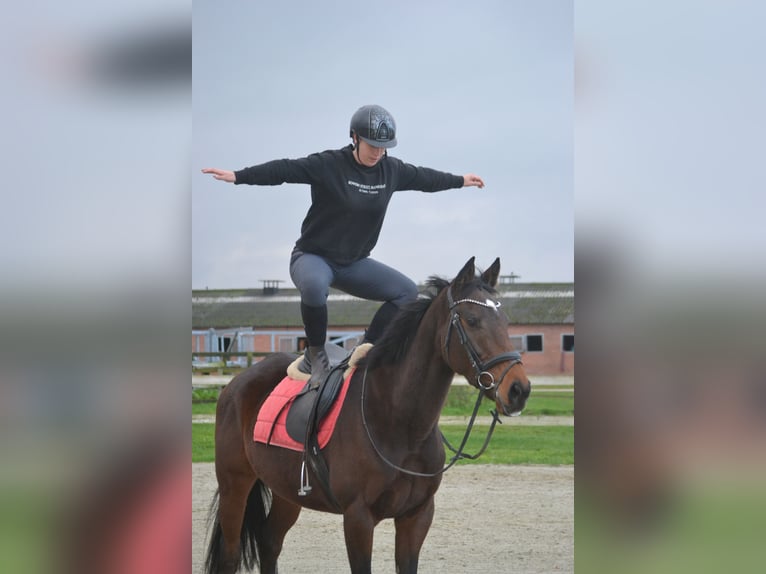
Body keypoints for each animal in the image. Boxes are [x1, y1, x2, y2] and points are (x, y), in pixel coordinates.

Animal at [206, 258, 536, 572]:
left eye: (506, 322)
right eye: (472, 320)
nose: (518, 389)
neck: (399, 421)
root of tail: (236, 384)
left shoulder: (416, 516)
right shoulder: (358, 519)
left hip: (287, 492)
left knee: (269, 542)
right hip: (235, 485)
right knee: (230, 556)